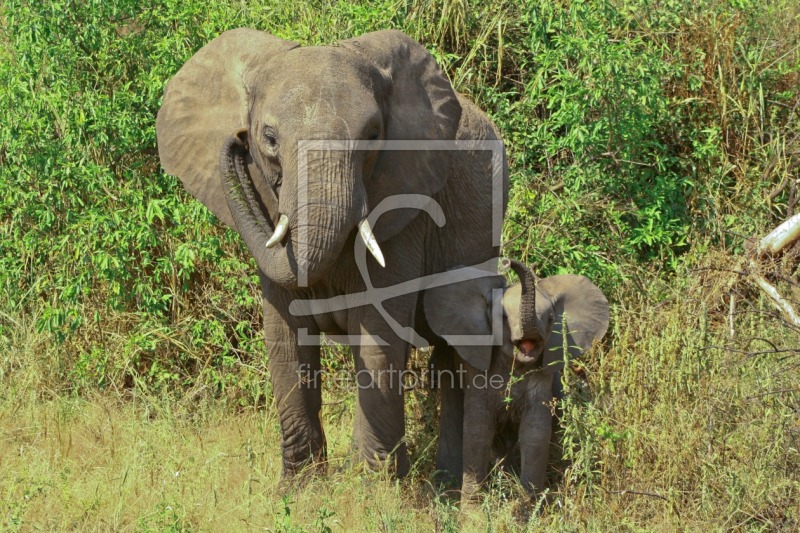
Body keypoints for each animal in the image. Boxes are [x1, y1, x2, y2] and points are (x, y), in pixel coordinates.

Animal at [155, 29, 506, 476]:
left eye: (373, 135)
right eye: (268, 139)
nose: (235, 140)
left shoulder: (406, 212)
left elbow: (378, 336)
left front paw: (375, 488)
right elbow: (285, 340)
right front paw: (301, 487)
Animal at [424, 258, 608, 498]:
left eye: (551, 319)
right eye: (503, 318)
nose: (507, 261)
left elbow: (535, 430)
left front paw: (526, 505)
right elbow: (477, 428)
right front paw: (471, 507)